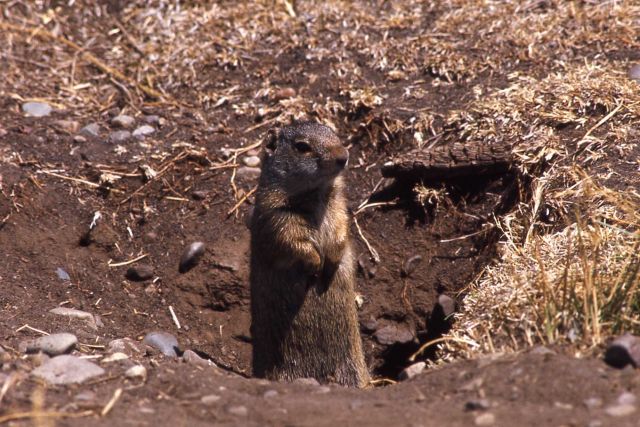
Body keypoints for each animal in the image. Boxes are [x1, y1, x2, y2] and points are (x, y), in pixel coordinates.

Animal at [249, 122, 369, 388]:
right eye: (302, 146)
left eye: (334, 134)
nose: (343, 156)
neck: (314, 194)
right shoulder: (277, 215)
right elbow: (291, 240)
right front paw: (315, 263)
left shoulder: (338, 206)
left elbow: (341, 228)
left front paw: (330, 261)